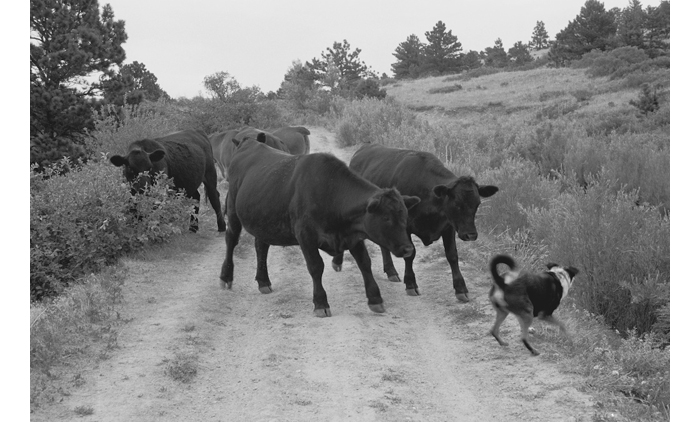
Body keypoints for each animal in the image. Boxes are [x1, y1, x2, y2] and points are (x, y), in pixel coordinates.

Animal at [219, 135, 418, 316]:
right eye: (386, 218)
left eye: (405, 216)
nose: (408, 249)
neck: (330, 193)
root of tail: (248, 142)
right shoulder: (305, 236)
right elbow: (316, 267)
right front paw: (321, 303)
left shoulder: (352, 235)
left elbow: (364, 263)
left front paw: (375, 298)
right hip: (233, 212)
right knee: (231, 240)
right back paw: (226, 277)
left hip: (263, 221)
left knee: (261, 247)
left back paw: (263, 281)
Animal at [332, 143, 498, 302]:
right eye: (457, 203)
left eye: (477, 204)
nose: (471, 235)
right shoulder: (404, 226)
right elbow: (410, 254)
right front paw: (411, 284)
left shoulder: (448, 226)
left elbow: (452, 255)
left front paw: (461, 289)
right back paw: (338, 261)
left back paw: (391, 271)